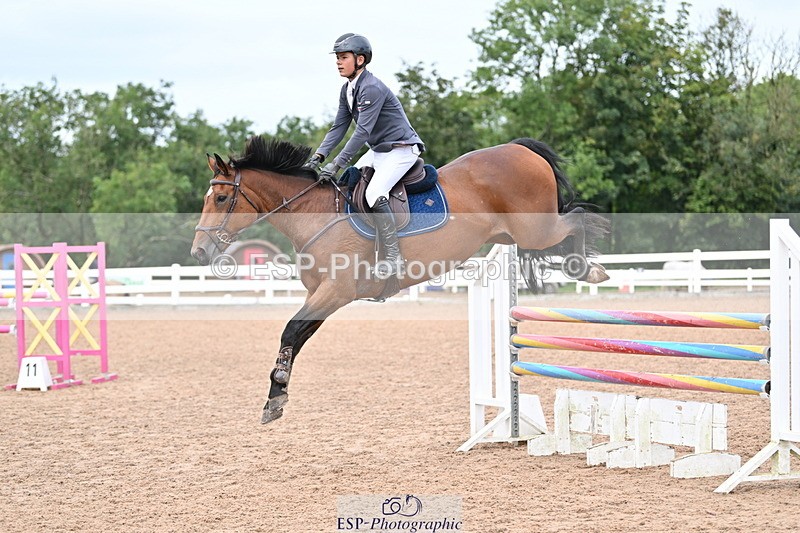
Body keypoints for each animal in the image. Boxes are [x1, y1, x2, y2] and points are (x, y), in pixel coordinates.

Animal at [191, 135, 610, 423]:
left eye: (221, 200)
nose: (199, 253)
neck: (314, 213)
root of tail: (520, 149)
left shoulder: (335, 291)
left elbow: (291, 331)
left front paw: (276, 392)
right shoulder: (323, 295)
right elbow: (296, 336)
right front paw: (276, 396)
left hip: (536, 229)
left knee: (576, 219)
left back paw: (587, 268)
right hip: (512, 236)